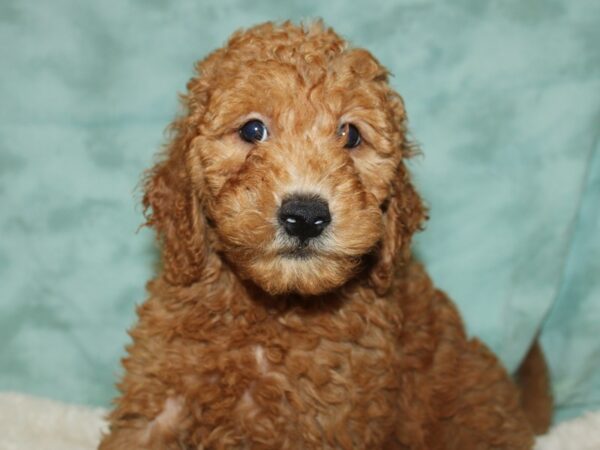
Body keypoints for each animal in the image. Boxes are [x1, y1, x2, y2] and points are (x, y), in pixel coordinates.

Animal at [99, 19, 552, 448]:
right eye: (252, 130)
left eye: (350, 134)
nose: (305, 215)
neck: (272, 310)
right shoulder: (159, 397)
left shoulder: (324, 425)